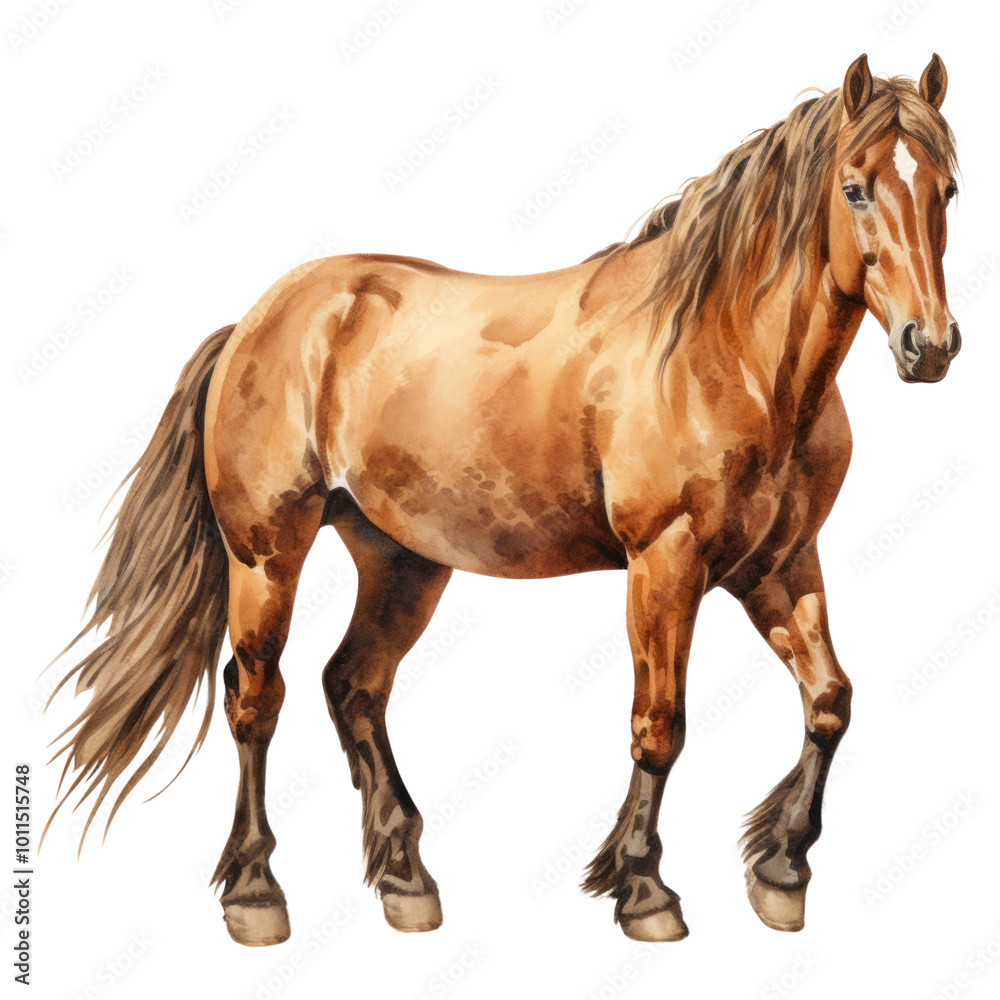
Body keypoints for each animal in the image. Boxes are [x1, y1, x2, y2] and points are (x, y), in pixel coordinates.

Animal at [46, 53, 961, 946]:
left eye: (947, 188)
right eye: (856, 187)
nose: (931, 346)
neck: (728, 357)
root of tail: (254, 322)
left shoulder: (779, 565)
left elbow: (830, 701)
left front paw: (780, 871)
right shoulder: (665, 564)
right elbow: (660, 724)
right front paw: (644, 891)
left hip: (401, 562)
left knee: (353, 686)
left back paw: (406, 881)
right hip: (267, 554)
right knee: (254, 698)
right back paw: (256, 892)